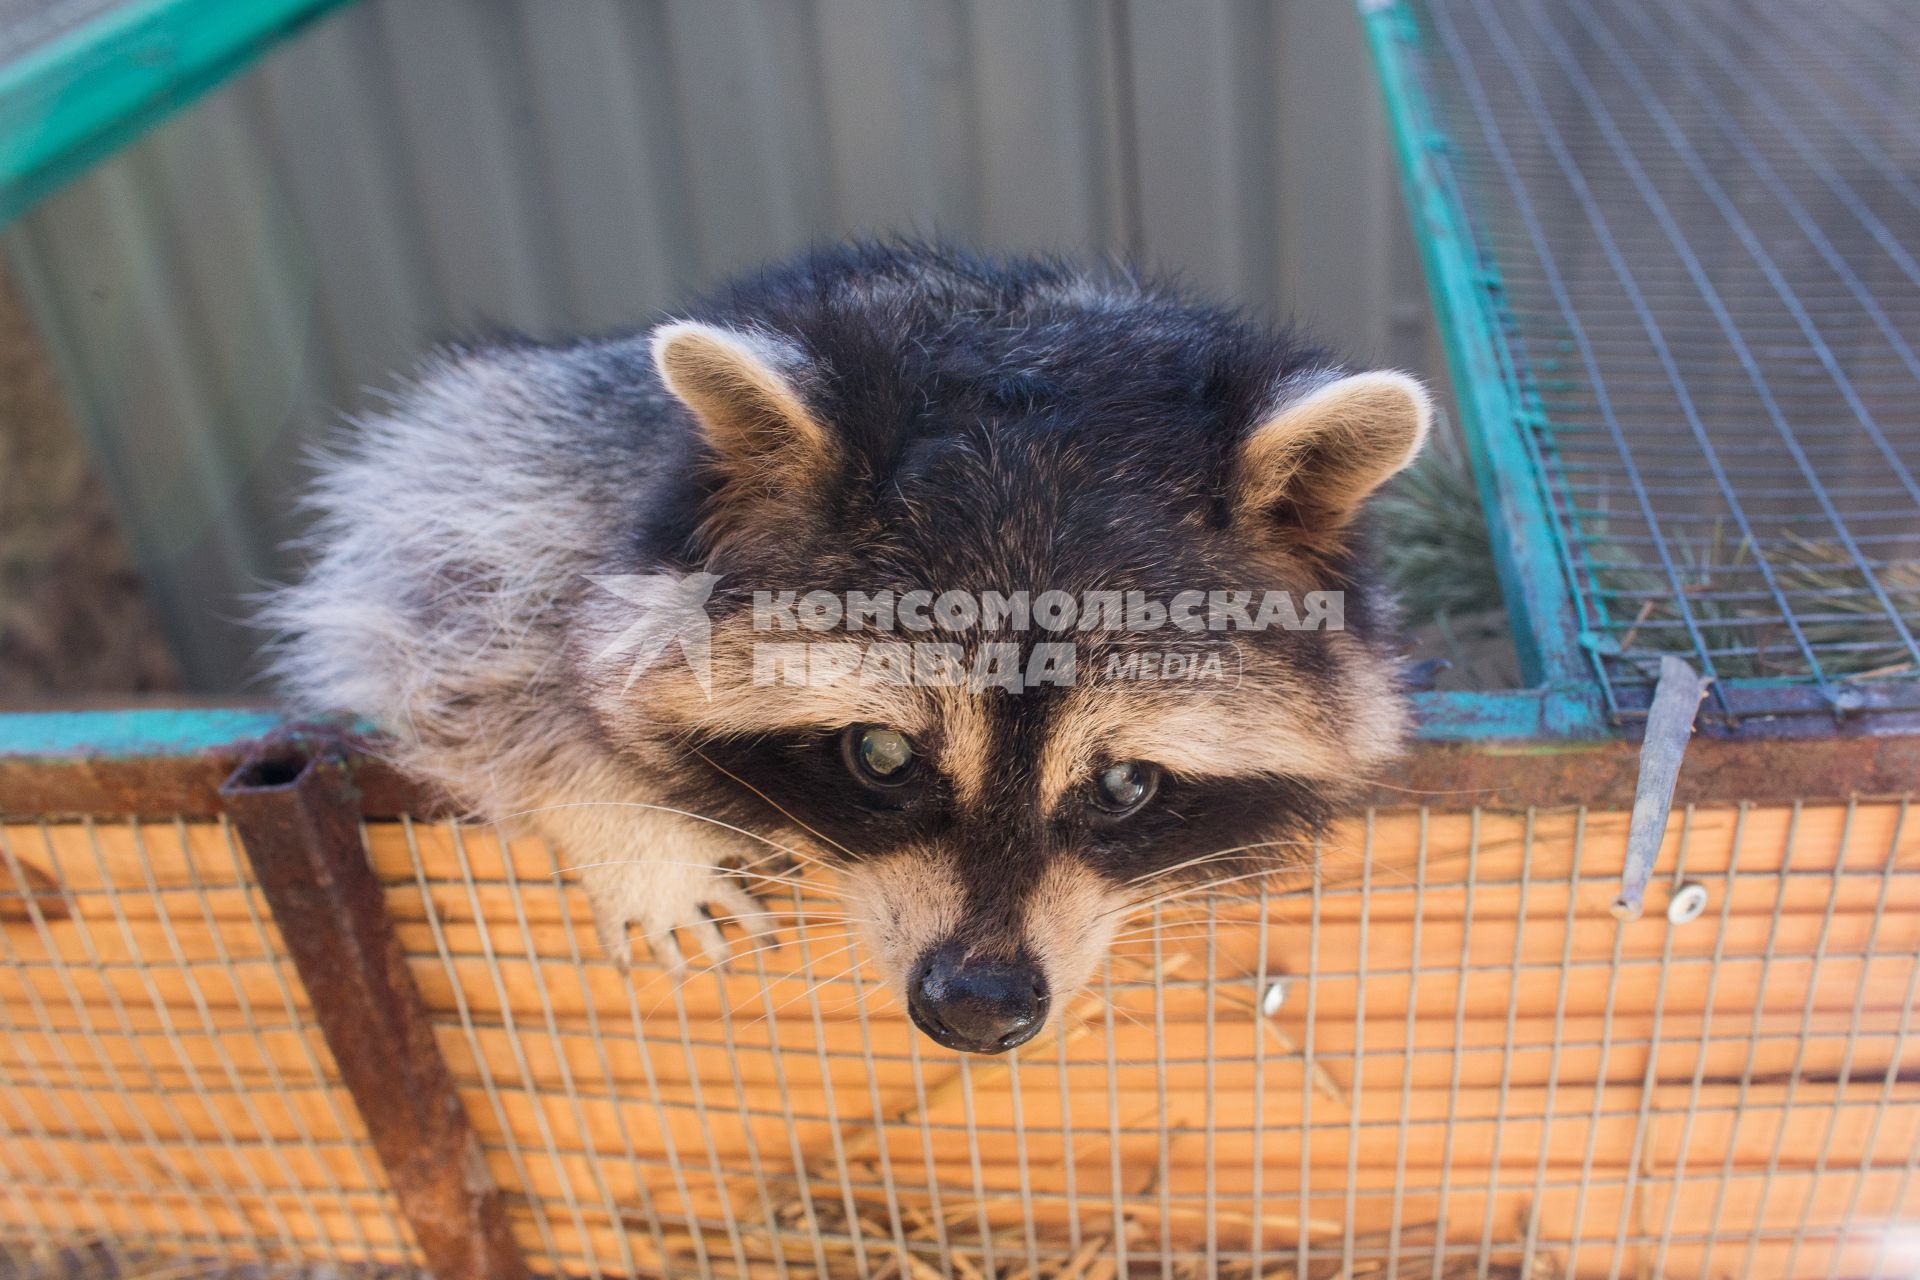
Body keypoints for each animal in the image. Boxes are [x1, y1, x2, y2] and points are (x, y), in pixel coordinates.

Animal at [278, 245, 1436, 1059]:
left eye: (1123, 783)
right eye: (881, 756)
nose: (976, 1010)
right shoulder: (561, 456)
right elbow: (429, 583)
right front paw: (623, 822)